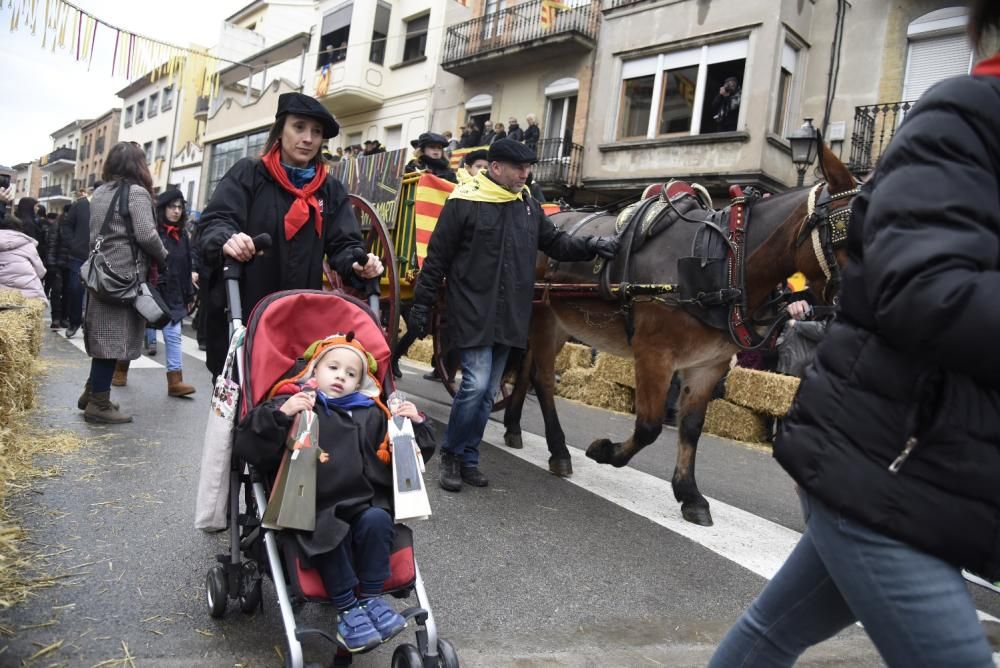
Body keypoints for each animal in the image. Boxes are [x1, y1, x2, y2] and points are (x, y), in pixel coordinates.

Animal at [504, 146, 856, 528]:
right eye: (848, 230)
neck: (723, 263)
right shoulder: (654, 354)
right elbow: (649, 426)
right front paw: (606, 451)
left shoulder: (709, 365)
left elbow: (690, 427)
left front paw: (690, 494)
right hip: (544, 318)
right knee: (543, 379)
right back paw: (558, 449)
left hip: (553, 324)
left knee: (526, 369)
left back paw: (513, 427)